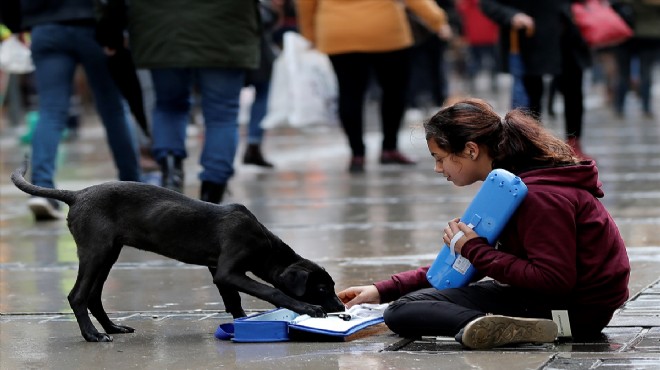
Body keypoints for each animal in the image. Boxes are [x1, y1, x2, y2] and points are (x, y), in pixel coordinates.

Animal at [11, 163, 346, 342]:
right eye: (320, 289)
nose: (341, 307)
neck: (265, 243)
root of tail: (77, 194)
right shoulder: (228, 270)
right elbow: (271, 291)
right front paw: (307, 308)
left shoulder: (218, 270)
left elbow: (233, 301)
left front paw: (240, 323)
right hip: (96, 252)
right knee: (77, 296)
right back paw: (93, 335)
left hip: (108, 253)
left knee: (93, 295)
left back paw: (112, 328)